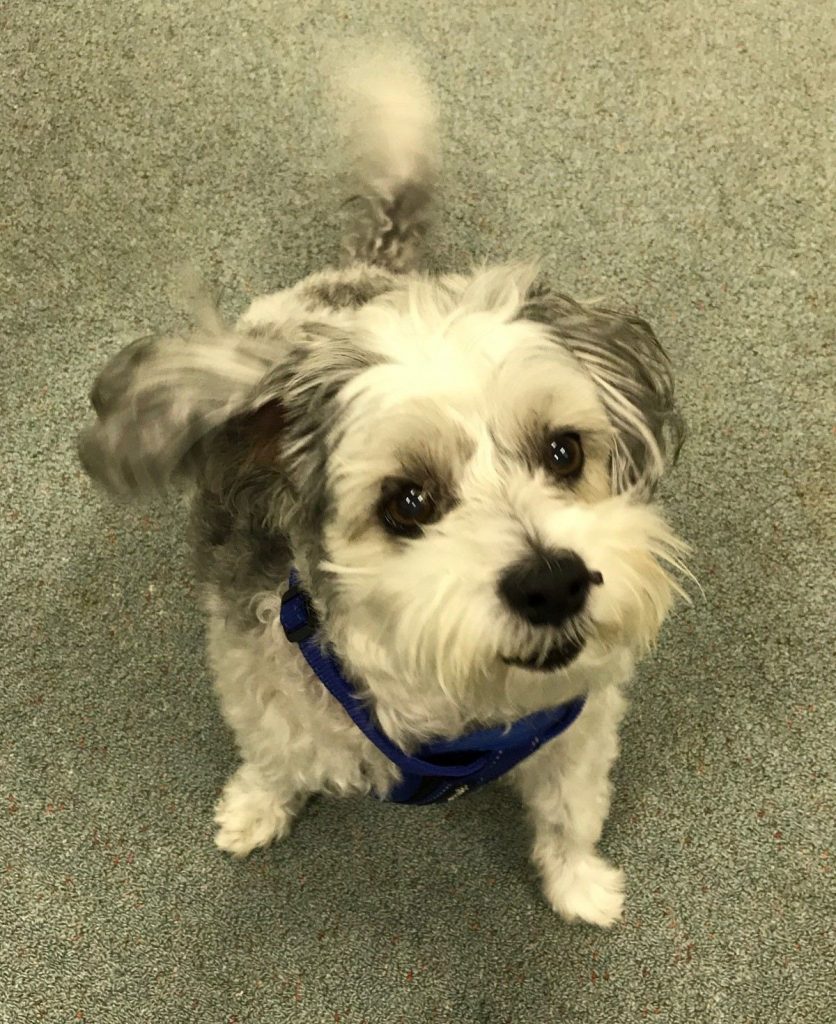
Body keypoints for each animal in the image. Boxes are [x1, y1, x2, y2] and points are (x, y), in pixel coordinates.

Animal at [76, 49, 684, 929]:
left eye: (564, 451)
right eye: (408, 502)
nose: (553, 582)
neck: (452, 716)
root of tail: (367, 268)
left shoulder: (578, 728)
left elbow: (570, 816)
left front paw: (579, 886)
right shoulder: (260, 685)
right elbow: (271, 761)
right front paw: (253, 812)